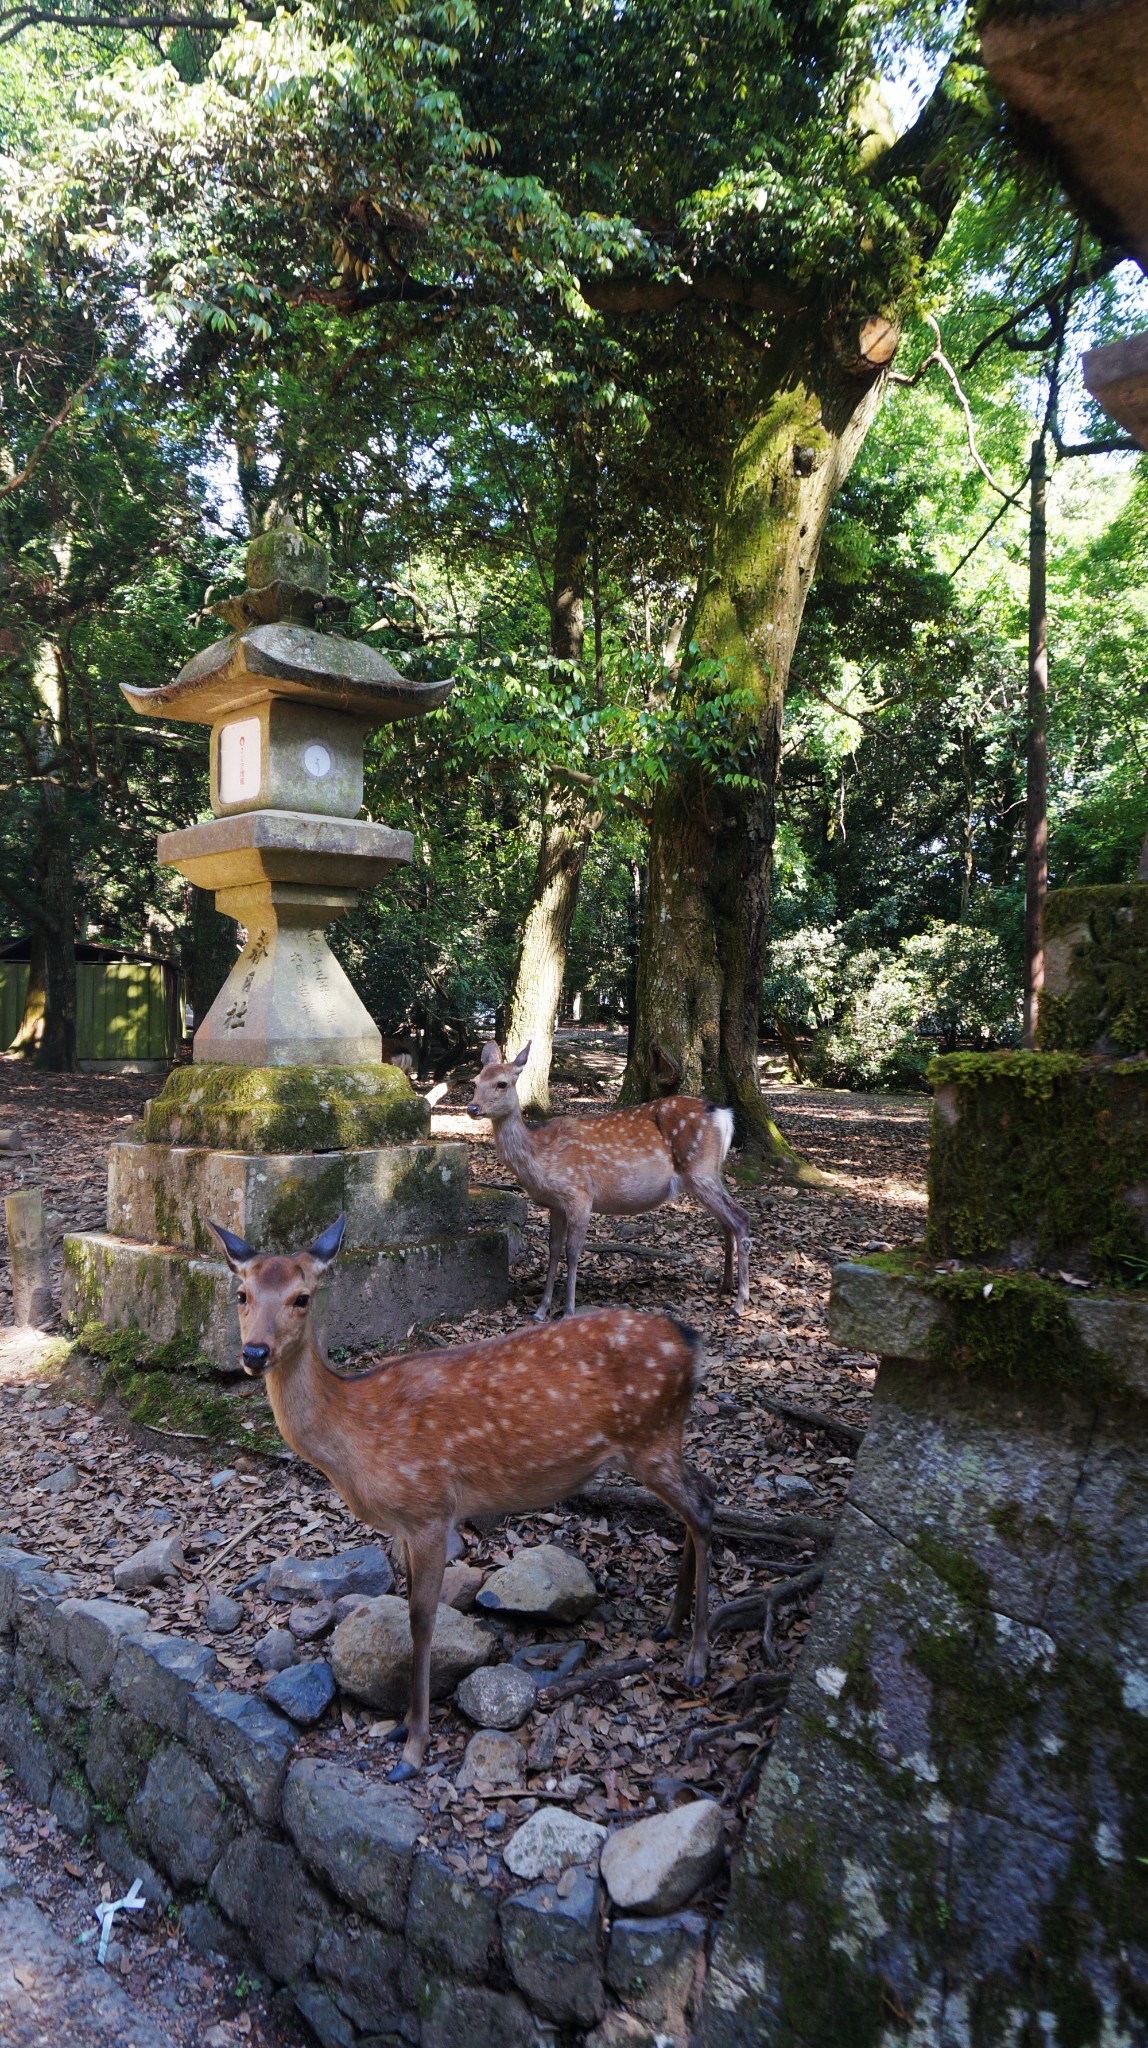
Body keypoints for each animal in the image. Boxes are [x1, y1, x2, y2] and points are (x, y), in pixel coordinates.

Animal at [205, 1212, 708, 1777]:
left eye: (302, 1298)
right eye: (241, 1294)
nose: (254, 1352)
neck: (355, 1434)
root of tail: (692, 1343)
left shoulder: (429, 1508)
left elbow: (422, 1621)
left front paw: (413, 1746)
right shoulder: (404, 1525)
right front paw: (401, 1725)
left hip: (651, 1437)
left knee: (705, 1507)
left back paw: (696, 1660)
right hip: (659, 1441)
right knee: (703, 1495)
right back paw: (671, 1623)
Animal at [468, 1040, 753, 1310]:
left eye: (502, 1084)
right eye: (475, 1081)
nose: (472, 1108)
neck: (539, 1154)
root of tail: (724, 1115)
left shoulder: (579, 1194)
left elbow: (573, 1252)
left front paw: (568, 1309)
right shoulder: (555, 1204)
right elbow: (553, 1249)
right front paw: (542, 1309)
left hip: (700, 1170)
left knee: (740, 1217)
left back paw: (740, 1301)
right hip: (707, 1174)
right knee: (727, 1222)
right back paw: (725, 1286)